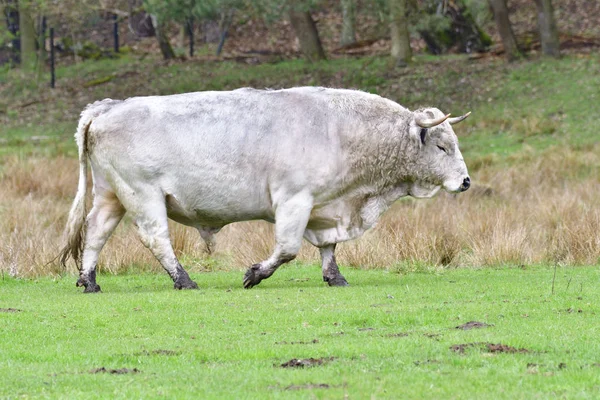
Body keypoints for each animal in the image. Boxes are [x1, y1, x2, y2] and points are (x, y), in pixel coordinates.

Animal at [59, 87, 474, 292]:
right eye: (442, 146)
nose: (466, 181)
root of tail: (108, 106)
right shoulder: (294, 200)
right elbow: (288, 249)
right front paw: (255, 274)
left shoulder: (323, 207)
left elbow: (328, 247)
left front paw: (335, 277)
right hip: (143, 196)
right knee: (157, 239)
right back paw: (184, 280)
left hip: (111, 196)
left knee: (95, 234)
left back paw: (89, 280)